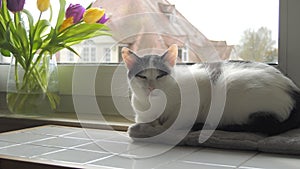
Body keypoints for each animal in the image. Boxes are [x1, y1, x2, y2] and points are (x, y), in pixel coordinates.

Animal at [121, 44, 300, 138]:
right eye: (142, 76)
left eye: (161, 75)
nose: (151, 86)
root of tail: (294, 90)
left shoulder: (189, 108)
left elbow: (168, 126)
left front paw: (141, 129)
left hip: (233, 87)